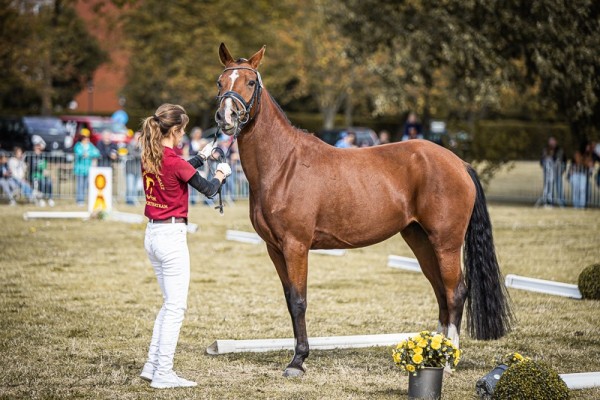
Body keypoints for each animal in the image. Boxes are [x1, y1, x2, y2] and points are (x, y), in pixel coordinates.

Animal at [214, 43, 510, 378]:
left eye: (251, 82)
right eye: (220, 82)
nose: (226, 116)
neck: (283, 164)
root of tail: (459, 163)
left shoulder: (296, 246)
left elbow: (300, 300)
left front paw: (298, 361)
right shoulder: (274, 248)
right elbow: (290, 300)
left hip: (446, 242)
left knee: (455, 291)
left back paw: (447, 361)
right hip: (420, 239)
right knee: (440, 292)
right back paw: (435, 352)